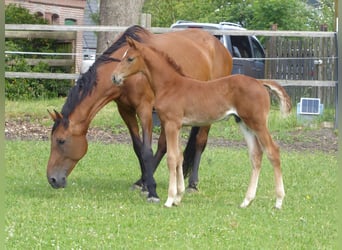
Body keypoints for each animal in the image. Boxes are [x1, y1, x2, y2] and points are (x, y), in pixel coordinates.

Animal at [46, 24, 232, 201]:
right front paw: (144, 183)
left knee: (200, 142)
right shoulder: (125, 110)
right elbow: (138, 147)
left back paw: (193, 184)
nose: (52, 179)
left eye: (61, 141)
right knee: (164, 145)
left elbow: (146, 150)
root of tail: (219, 46)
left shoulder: (145, 109)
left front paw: (151, 190)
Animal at [111, 37, 292, 209]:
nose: (114, 77)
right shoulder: (177, 126)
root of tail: (260, 82)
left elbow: (171, 158)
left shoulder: (171, 124)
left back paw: (278, 201)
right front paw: (178, 197)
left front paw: (169, 199)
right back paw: (246, 201)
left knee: (273, 151)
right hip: (244, 123)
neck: (170, 85)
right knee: (256, 155)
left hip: (258, 123)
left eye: (130, 58)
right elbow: (179, 156)